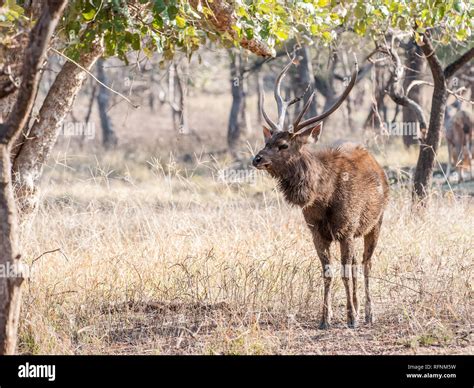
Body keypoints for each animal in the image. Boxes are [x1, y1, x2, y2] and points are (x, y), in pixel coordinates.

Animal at [254, 56, 390, 328]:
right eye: (266, 141)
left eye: (283, 145)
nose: (257, 159)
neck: (323, 198)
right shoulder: (316, 231)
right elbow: (327, 273)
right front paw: (325, 318)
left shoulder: (346, 228)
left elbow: (345, 273)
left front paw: (351, 318)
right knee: (357, 264)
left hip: (376, 222)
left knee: (366, 264)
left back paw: (368, 313)